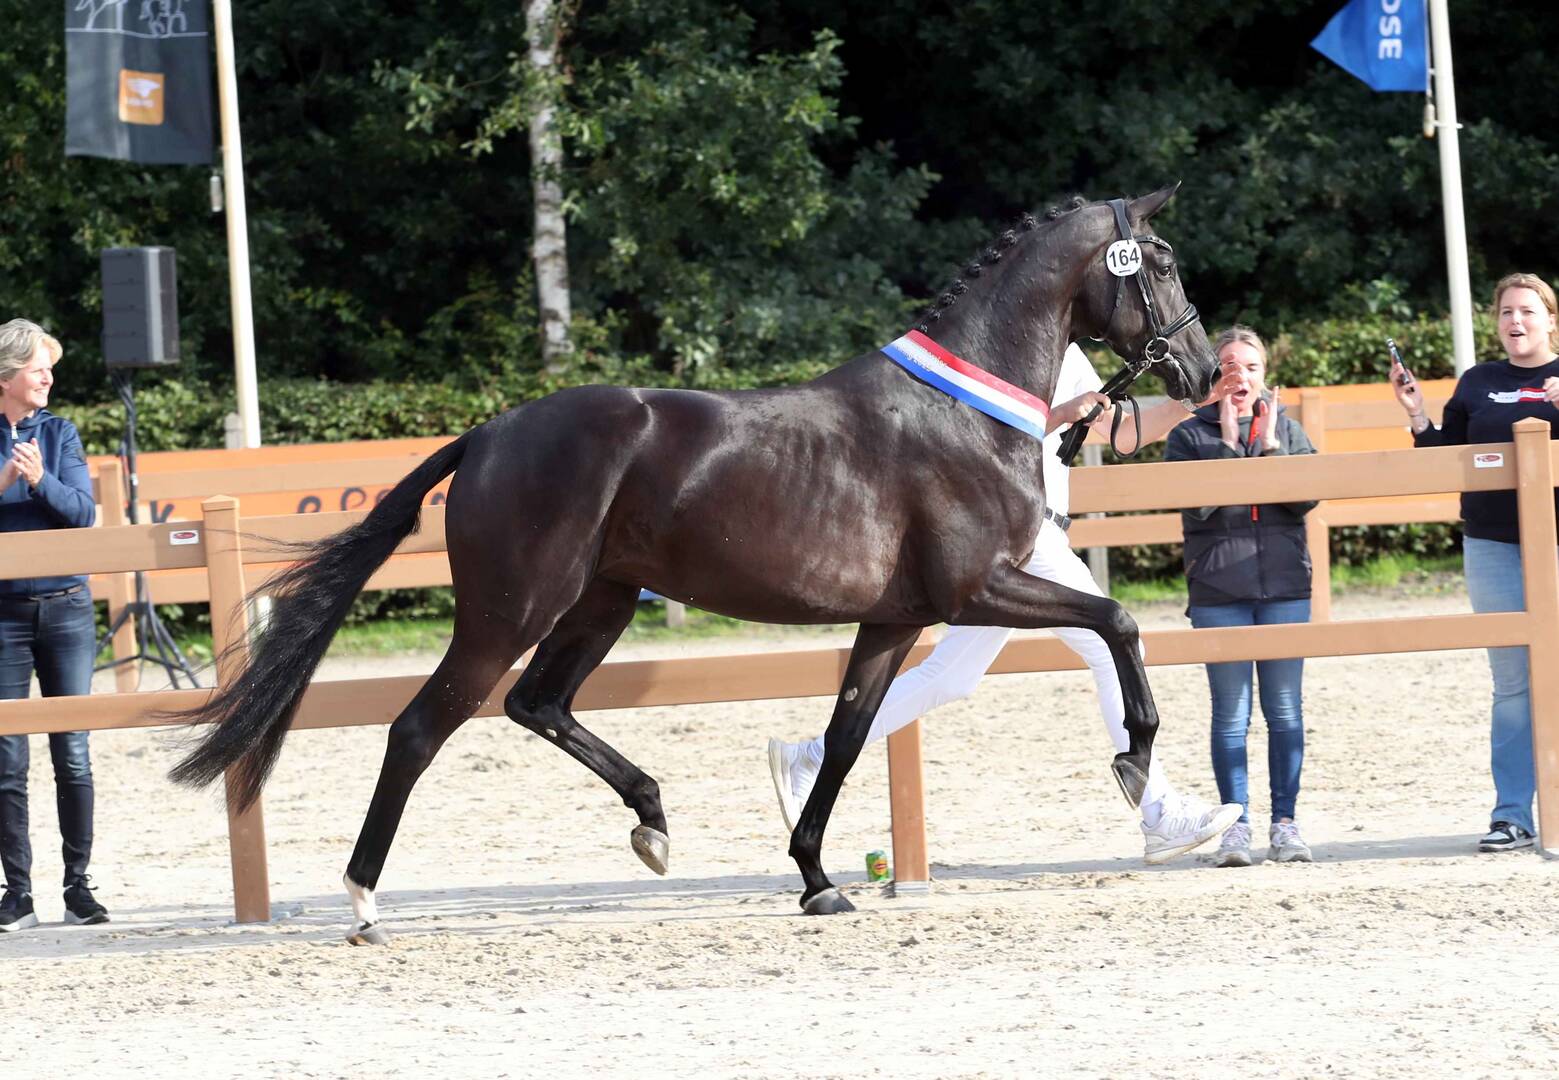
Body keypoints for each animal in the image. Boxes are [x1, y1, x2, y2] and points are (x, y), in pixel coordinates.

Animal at [168, 183, 1217, 944]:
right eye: (1160, 263)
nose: (1203, 370)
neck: (964, 410)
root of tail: (490, 433)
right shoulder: (976, 590)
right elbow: (1118, 622)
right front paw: (1134, 763)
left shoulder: (894, 619)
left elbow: (844, 738)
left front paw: (816, 879)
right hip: (510, 612)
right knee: (422, 727)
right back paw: (362, 900)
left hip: (599, 604)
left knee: (537, 704)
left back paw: (652, 822)